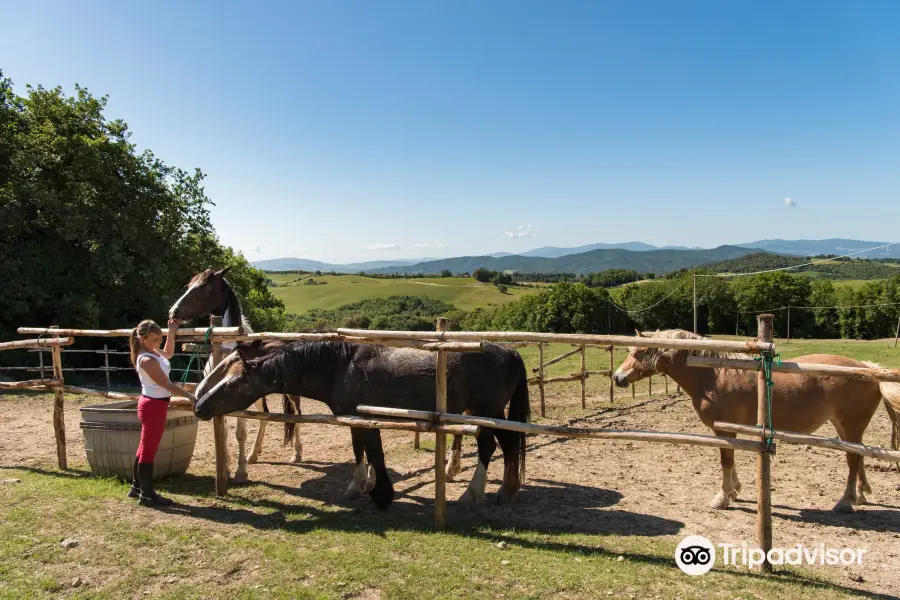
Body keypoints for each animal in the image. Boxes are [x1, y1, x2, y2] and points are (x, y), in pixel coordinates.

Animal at [170, 268, 306, 482]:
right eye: (189, 285)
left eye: (203, 287)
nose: (173, 311)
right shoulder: (217, 400)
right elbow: (224, 433)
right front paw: (225, 469)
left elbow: (240, 434)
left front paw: (241, 472)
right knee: (265, 416)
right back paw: (253, 454)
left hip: (291, 395)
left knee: (297, 415)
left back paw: (297, 454)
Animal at [193, 340, 532, 508]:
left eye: (234, 382)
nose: (199, 405)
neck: (341, 366)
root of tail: (510, 351)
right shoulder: (353, 419)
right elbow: (360, 452)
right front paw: (357, 487)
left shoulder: (367, 419)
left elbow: (375, 454)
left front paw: (381, 494)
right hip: (494, 412)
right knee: (508, 444)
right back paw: (507, 491)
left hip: (484, 411)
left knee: (489, 447)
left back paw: (472, 495)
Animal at [612, 328, 900, 510]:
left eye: (637, 352)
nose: (617, 377)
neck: (713, 374)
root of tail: (867, 369)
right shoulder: (728, 431)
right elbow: (730, 459)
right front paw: (735, 490)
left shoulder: (724, 429)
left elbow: (726, 460)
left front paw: (723, 497)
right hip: (845, 428)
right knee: (858, 457)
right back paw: (859, 496)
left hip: (850, 425)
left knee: (852, 460)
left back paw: (844, 501)